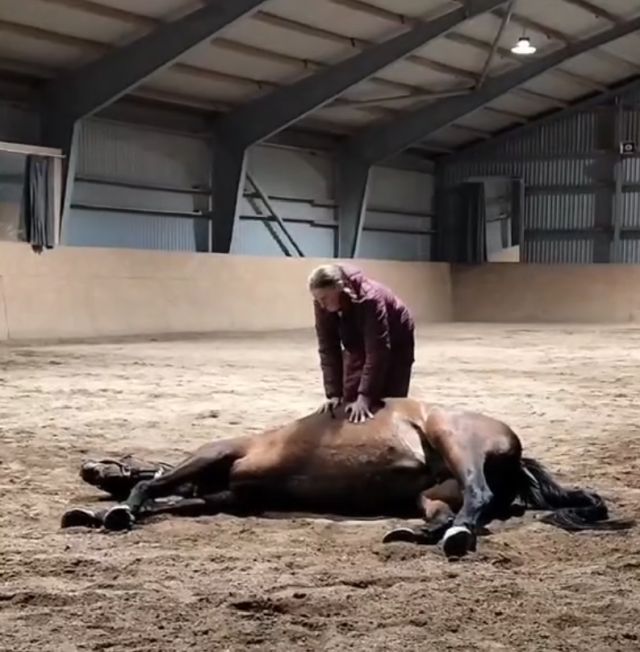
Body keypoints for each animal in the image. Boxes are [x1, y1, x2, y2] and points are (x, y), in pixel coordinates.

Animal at [61, 398, 634, 558]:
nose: (87, 465)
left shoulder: (214, 458)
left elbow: (149, 486)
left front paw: (115, 509)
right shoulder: (225, 496)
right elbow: (170, 498)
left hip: (455, 440)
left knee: (478, 496)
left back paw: (453, 536)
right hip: (429, 493)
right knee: (451, 512)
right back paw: (417, 533)